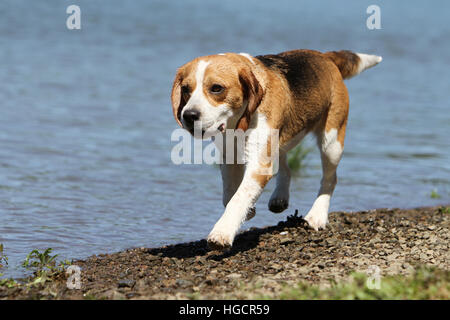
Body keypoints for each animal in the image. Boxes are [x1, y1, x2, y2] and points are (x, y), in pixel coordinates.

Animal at [171, 49, 382, 250]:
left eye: (216, 88)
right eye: (186, 89)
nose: (188, 115)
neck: (238, 121)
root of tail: (325, 56)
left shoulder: (259, 165)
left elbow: (238, 198)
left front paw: (222, 232)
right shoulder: (230, 157)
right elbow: (230, 194)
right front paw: (248, 211)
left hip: (331, 142)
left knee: (330, 179)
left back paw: (317, 215)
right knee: (285, 167)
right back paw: (280, 197)